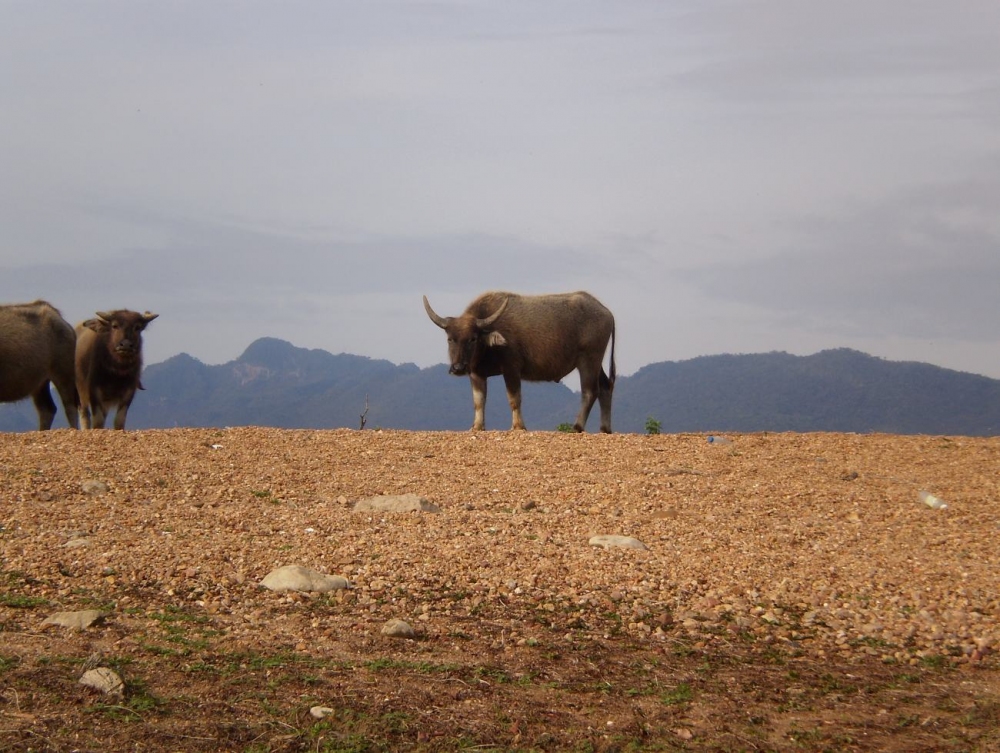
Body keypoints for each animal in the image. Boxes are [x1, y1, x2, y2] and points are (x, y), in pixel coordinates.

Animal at [418, 290, 612, 432]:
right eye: (450, 339)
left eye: (472, 339)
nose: (458, 368)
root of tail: (606, 312)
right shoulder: (476, 374)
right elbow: (479, 401)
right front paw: (477, 426)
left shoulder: (511, 369)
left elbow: (514, 398)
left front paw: (518, 426)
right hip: (597, 364)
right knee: (606, 386)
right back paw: (605, 428)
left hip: (588, 360)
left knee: (590, 391)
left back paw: (577, 427)